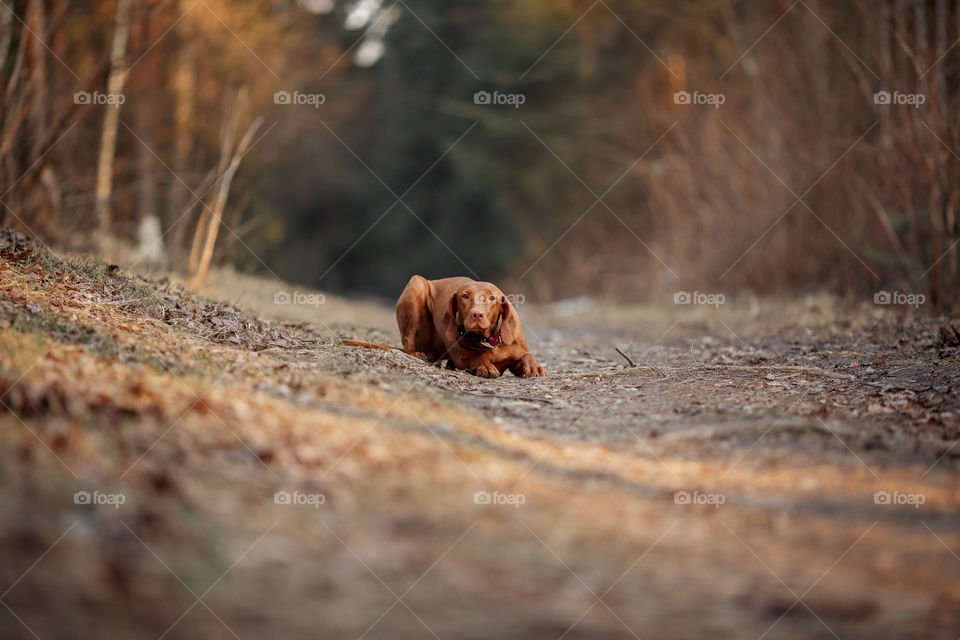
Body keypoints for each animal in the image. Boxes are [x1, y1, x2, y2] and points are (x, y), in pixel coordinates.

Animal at [344, 276, 544, 378]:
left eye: (492, 298)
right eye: (465, 296)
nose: (477, 315)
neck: (488, 340)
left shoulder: (517, 351)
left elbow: (528, 355)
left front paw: (534, 366)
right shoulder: (463, 357)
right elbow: (476, 358)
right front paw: (485, 366)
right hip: (416, 284)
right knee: (407, 344)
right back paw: (417, 354)